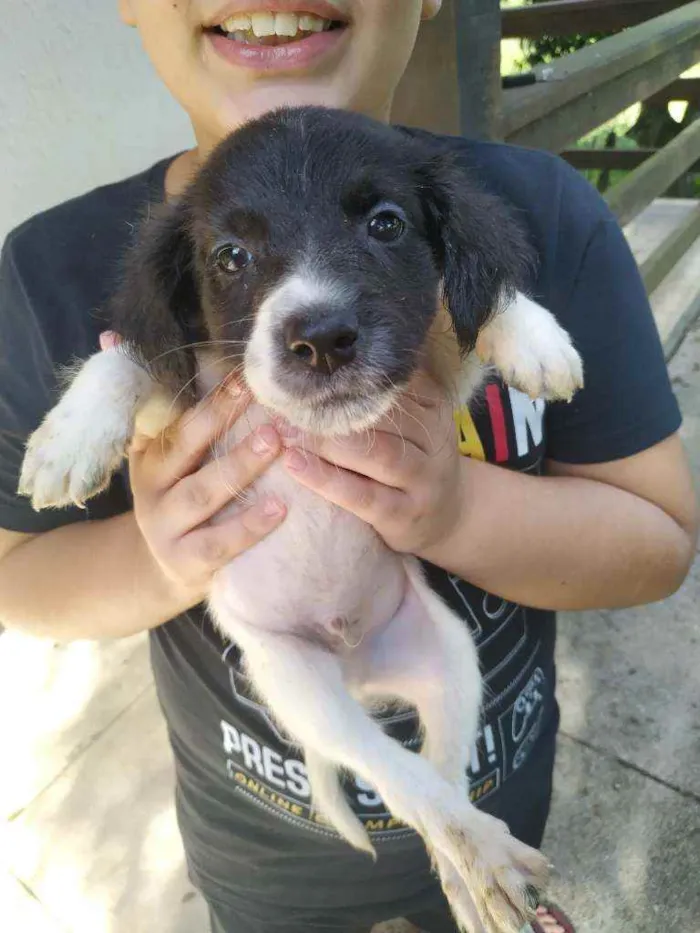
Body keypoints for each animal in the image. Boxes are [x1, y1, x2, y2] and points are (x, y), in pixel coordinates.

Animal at [20, 107, 580, 932]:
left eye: (386, 224)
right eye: (230, 256)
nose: (321, 339)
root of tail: (356, 668)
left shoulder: (424, 378)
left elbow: (465, 312)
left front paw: (534, 337)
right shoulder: (180, 402)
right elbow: (130, 358)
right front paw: (70, 437)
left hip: (450, 662)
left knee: (439, 784)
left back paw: (481, 882)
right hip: (295, 682)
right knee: (406, 780)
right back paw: (488, 860)